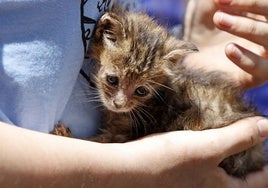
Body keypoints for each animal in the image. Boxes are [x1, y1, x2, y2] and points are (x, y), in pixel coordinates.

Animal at [53, 8, 264, 176]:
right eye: (112, 80)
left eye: (141, 91)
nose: (119, 104)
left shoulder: (124, 134)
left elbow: (98, 143)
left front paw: (65, 137)